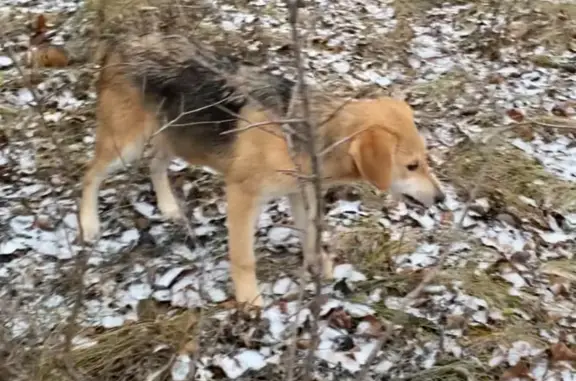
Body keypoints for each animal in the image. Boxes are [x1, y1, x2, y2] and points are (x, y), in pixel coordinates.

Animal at [77, 32, 446, 306]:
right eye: (411, 165)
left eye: (426, 160)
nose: (443, 199)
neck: (305, 136)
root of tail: (121, 42)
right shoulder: (242, 195)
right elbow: (244, 258)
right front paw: (249, 301)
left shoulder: (300, 194)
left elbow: (311, 237)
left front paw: (320, 268)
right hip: (125, 145)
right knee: (90, 175)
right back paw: (89, 224)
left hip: (174, 138)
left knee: (155, 166)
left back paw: (168, 207)